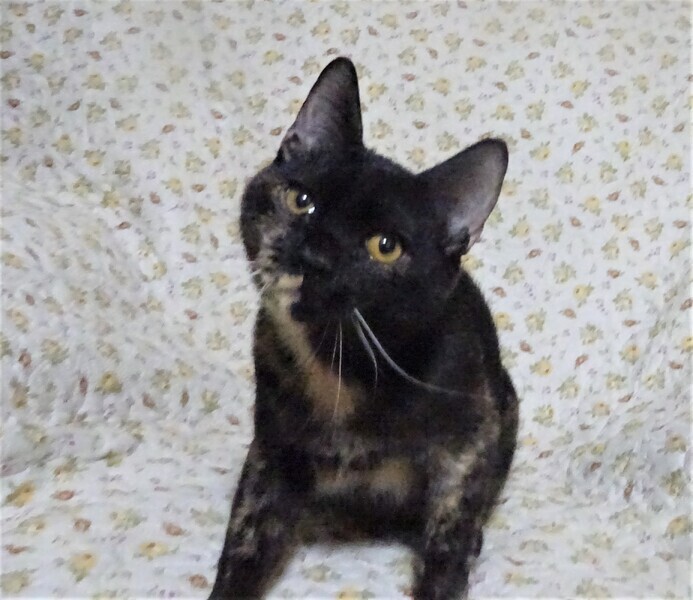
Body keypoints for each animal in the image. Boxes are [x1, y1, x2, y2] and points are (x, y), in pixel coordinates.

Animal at [210, 57, 518, 600]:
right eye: (301, 199)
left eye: (385, 246)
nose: (313, 255)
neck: (340, 365)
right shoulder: (270, 450)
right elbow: (245, 536)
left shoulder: (468, 446)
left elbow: (449, 537)